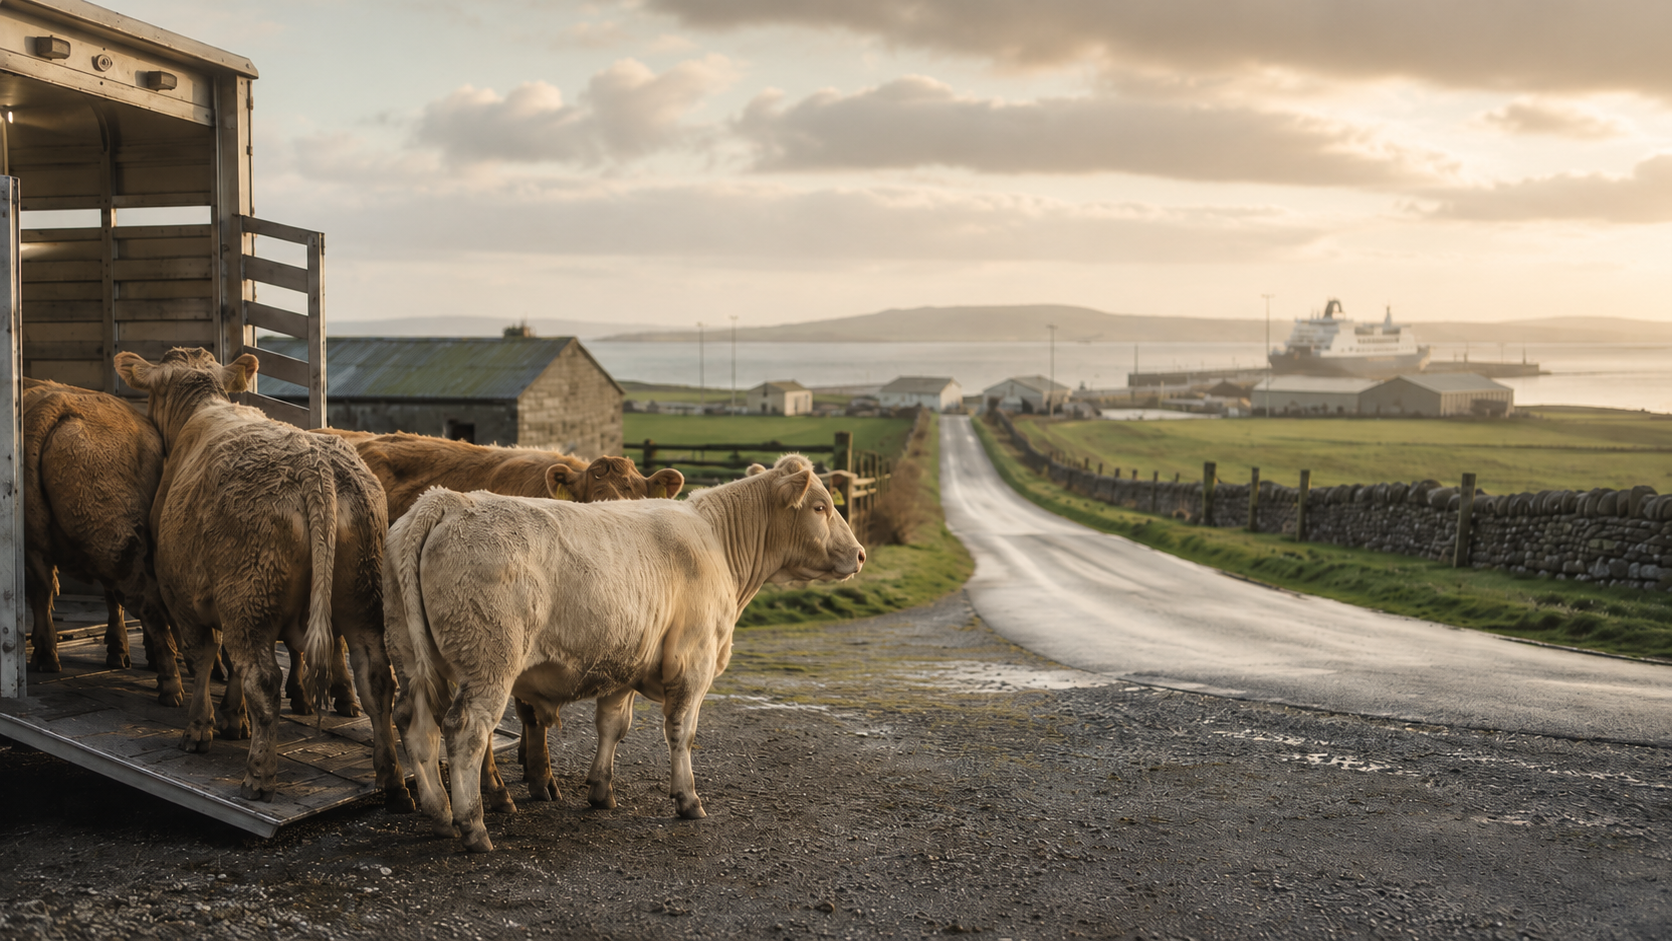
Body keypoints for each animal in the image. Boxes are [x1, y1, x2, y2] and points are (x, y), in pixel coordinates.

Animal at [113, 348, 410, 808]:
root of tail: (314, 464)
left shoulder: (183, 595)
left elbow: (204, 657)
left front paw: (201, 727)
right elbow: (228, 664)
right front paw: (234, 719)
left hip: (250, 596)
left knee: (265, 679)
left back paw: (258, 776)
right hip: (359, 598)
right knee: (376, 678)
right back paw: (391, 777)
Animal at [387, 453, 864, 851]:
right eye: (821, 507)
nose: (859, 554)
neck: (715, 542)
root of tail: (448, 500)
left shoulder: (623, 661)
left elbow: (612, 726)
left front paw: (601, 790)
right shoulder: (694, 660)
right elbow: (682, 732)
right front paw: (688, 799)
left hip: (411, 659)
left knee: (415, 724)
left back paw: (439, 814)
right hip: (489, 663)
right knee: (465, 731)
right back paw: (472, 826)